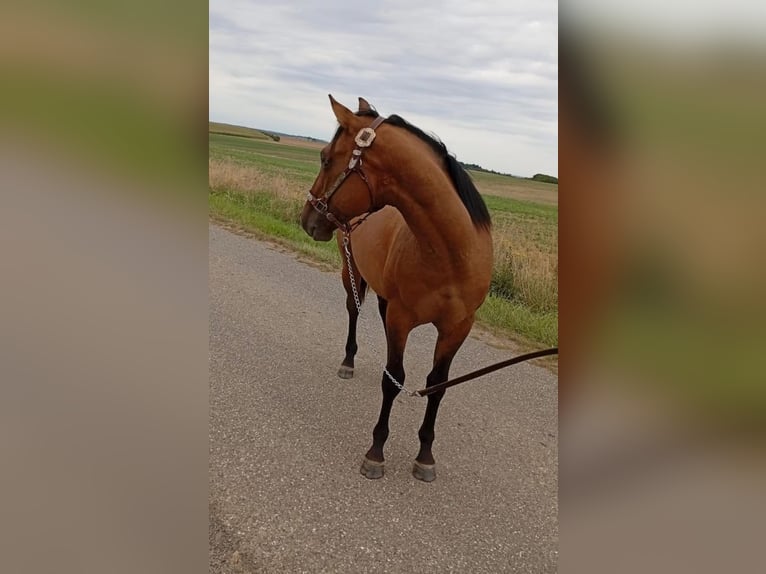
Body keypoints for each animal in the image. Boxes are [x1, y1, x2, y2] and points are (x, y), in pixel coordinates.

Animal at [300, 95, 493, 482]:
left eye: (326, 158)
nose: (306, 219)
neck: (450, 253)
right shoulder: (402, 319)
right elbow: (393, 380)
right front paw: (376, 452)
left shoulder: (457, 328)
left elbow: (437, 384)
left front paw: (425, 455)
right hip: (351, 274)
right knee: (354, 312)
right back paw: (348, 361)